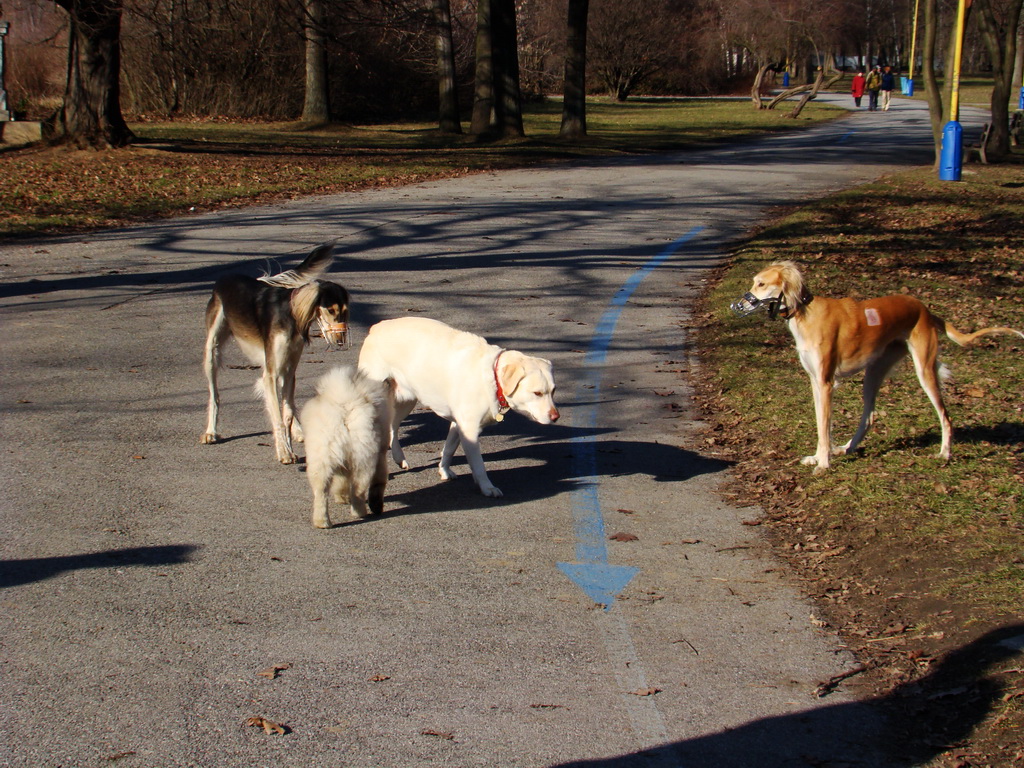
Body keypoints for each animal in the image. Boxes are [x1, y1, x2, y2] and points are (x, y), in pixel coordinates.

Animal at [199, 244, 352, 462]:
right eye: (330, 310)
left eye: (345, 311)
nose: (340, 341)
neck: (290, 313)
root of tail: (226, 276)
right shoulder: (271, 375)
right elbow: (278, 418)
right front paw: (284, 451)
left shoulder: (288, 371)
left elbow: (286, 413)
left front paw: (289, 441)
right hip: (213, 350)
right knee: (215, 395)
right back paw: (211, 432)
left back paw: (298, 431)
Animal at [299, 366, 391, 528]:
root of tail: (346, 405)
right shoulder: (380, 455)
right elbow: (378, 484)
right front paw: (376, 506)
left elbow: (341, 482)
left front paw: (342, 498)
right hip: (363, 459)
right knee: (358, 490)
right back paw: (360, 512)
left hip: (321, 460)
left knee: (321, 492)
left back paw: (322, 522)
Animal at [358, 317, 561, 499]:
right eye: (537, 393)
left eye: (553, 391)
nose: (555, 417)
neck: (491, 378)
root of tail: (378, 327)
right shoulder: (470, 430)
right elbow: (478, 465)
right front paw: (487, 487)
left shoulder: (459, 424)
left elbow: (448, 449)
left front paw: (444, 470)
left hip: (407, 399)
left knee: (392, 426)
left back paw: (399, 458)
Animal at [733, 262, 1019, 473]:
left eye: (761, 284)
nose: (740, 305)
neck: (806, 313)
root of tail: (925, 309)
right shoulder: (815, 381)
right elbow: (821, 425)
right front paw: (819, 457)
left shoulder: (826, 383)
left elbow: (824, 427)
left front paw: (824, 464)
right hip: (874, 372)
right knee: (869, 416)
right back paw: (848, 448)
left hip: (924, 370)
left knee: (946, 416)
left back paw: (945, 454)